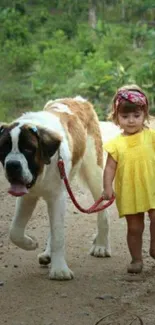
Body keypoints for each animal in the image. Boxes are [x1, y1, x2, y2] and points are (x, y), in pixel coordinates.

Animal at [0, 95, 111, 278]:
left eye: (28, 149)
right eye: (4, 149)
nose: (12, 165)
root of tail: (79, 100)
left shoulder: (57, 197)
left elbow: (58, 234)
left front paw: (59, 270)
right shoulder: (28, 197)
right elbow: (14, 231)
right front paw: (30, 243)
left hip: (95, 173)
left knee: (103, 212)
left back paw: (101, 245)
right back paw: (47, 254)